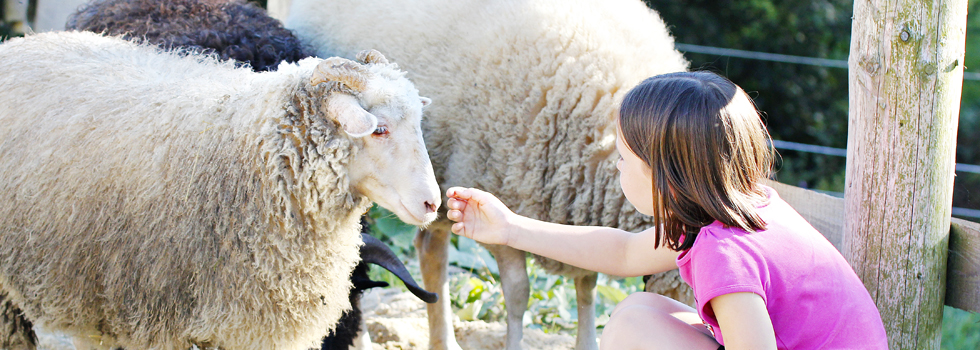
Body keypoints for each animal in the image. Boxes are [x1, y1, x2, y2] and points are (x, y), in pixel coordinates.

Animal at [288, 0, 688, 348]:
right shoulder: (502, 191)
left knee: (431, 253)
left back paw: (443, 340)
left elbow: (587, 284)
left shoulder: (576, 202)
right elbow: (519, 293)